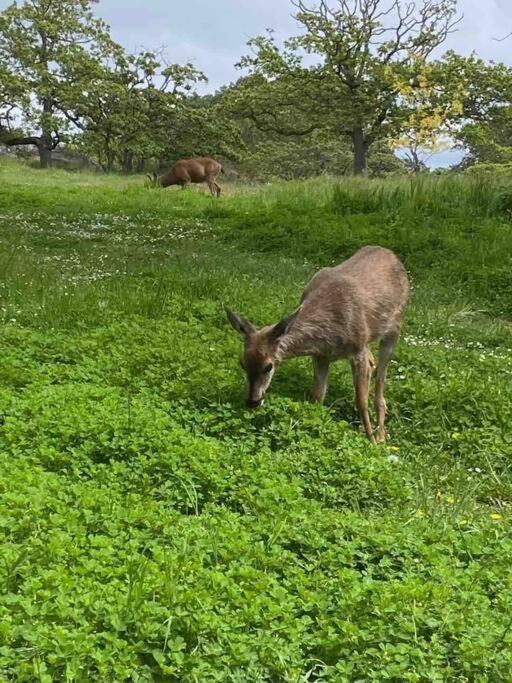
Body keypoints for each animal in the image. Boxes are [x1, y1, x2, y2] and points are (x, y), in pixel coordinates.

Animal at [226, 246, 410, 444]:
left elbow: (361, 400)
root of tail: (391, 253)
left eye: (269, 366)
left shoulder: (358, 348)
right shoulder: (321, 355)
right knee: (372, 362)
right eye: (242, 363)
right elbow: (318, 395)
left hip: (394, 328)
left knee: (380, 378)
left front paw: (371, 442)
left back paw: (380, 433)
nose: (252, 401)